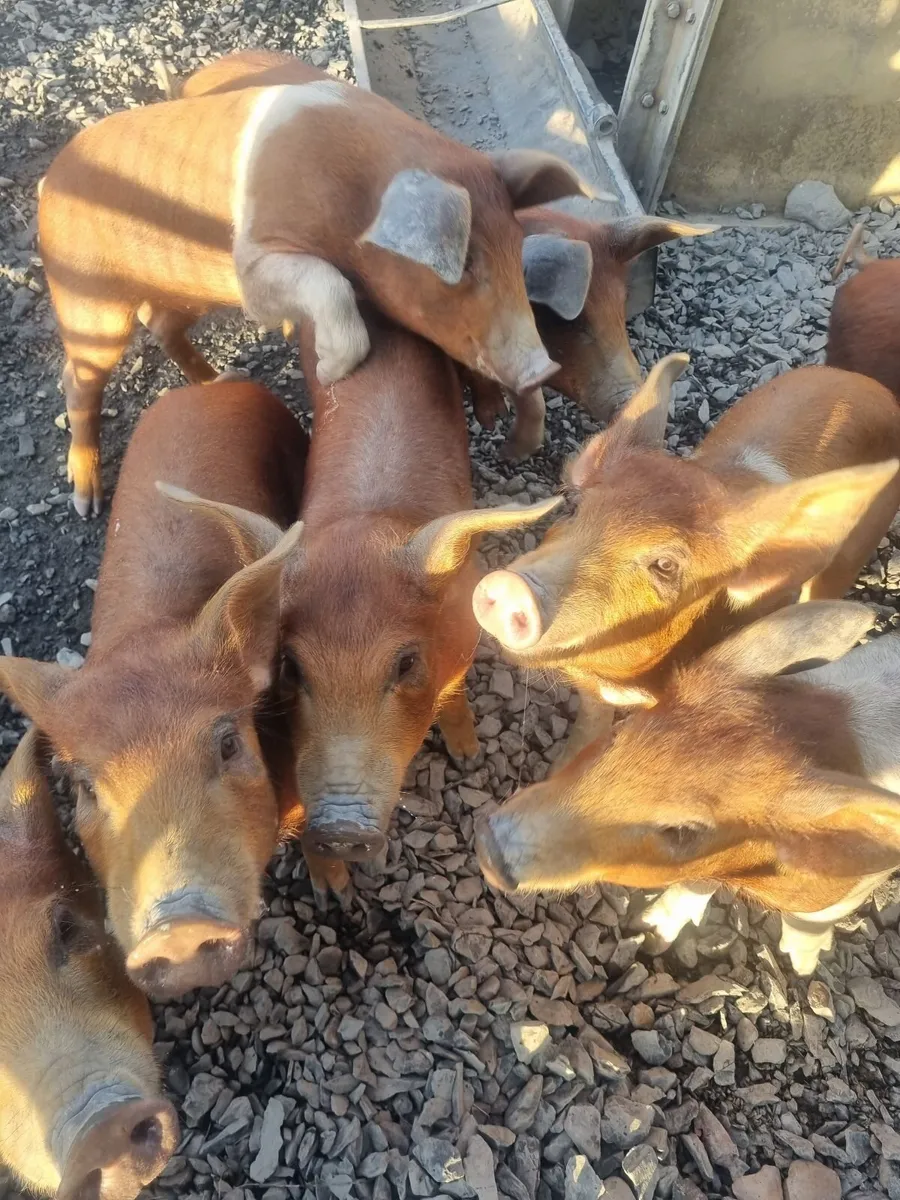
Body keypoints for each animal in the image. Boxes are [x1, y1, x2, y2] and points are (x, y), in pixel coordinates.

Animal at [38, 49, 591, 515]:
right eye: (467, 262)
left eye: (515, 248)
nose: (542, 366)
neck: (354, 203)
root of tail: (49, 179)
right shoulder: (253, 262)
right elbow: (327, 284)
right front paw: (329, 372)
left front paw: (507, 435)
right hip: (87, 296)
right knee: (77, 378)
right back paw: (86, 502)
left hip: (181, 290)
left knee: (159, 322)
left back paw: (223, 380)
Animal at [164, 310, 559, 865]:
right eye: (291, 666)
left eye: (406, 663)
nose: (342, 828)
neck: (366, 521)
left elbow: (454, 694)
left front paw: (467, 754)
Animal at [475, 600, 900, 975]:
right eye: (619, 735)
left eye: (681, 832)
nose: (489, 846)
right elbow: (693, 885)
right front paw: (649, 931)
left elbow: (810, 921)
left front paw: (803, 968)